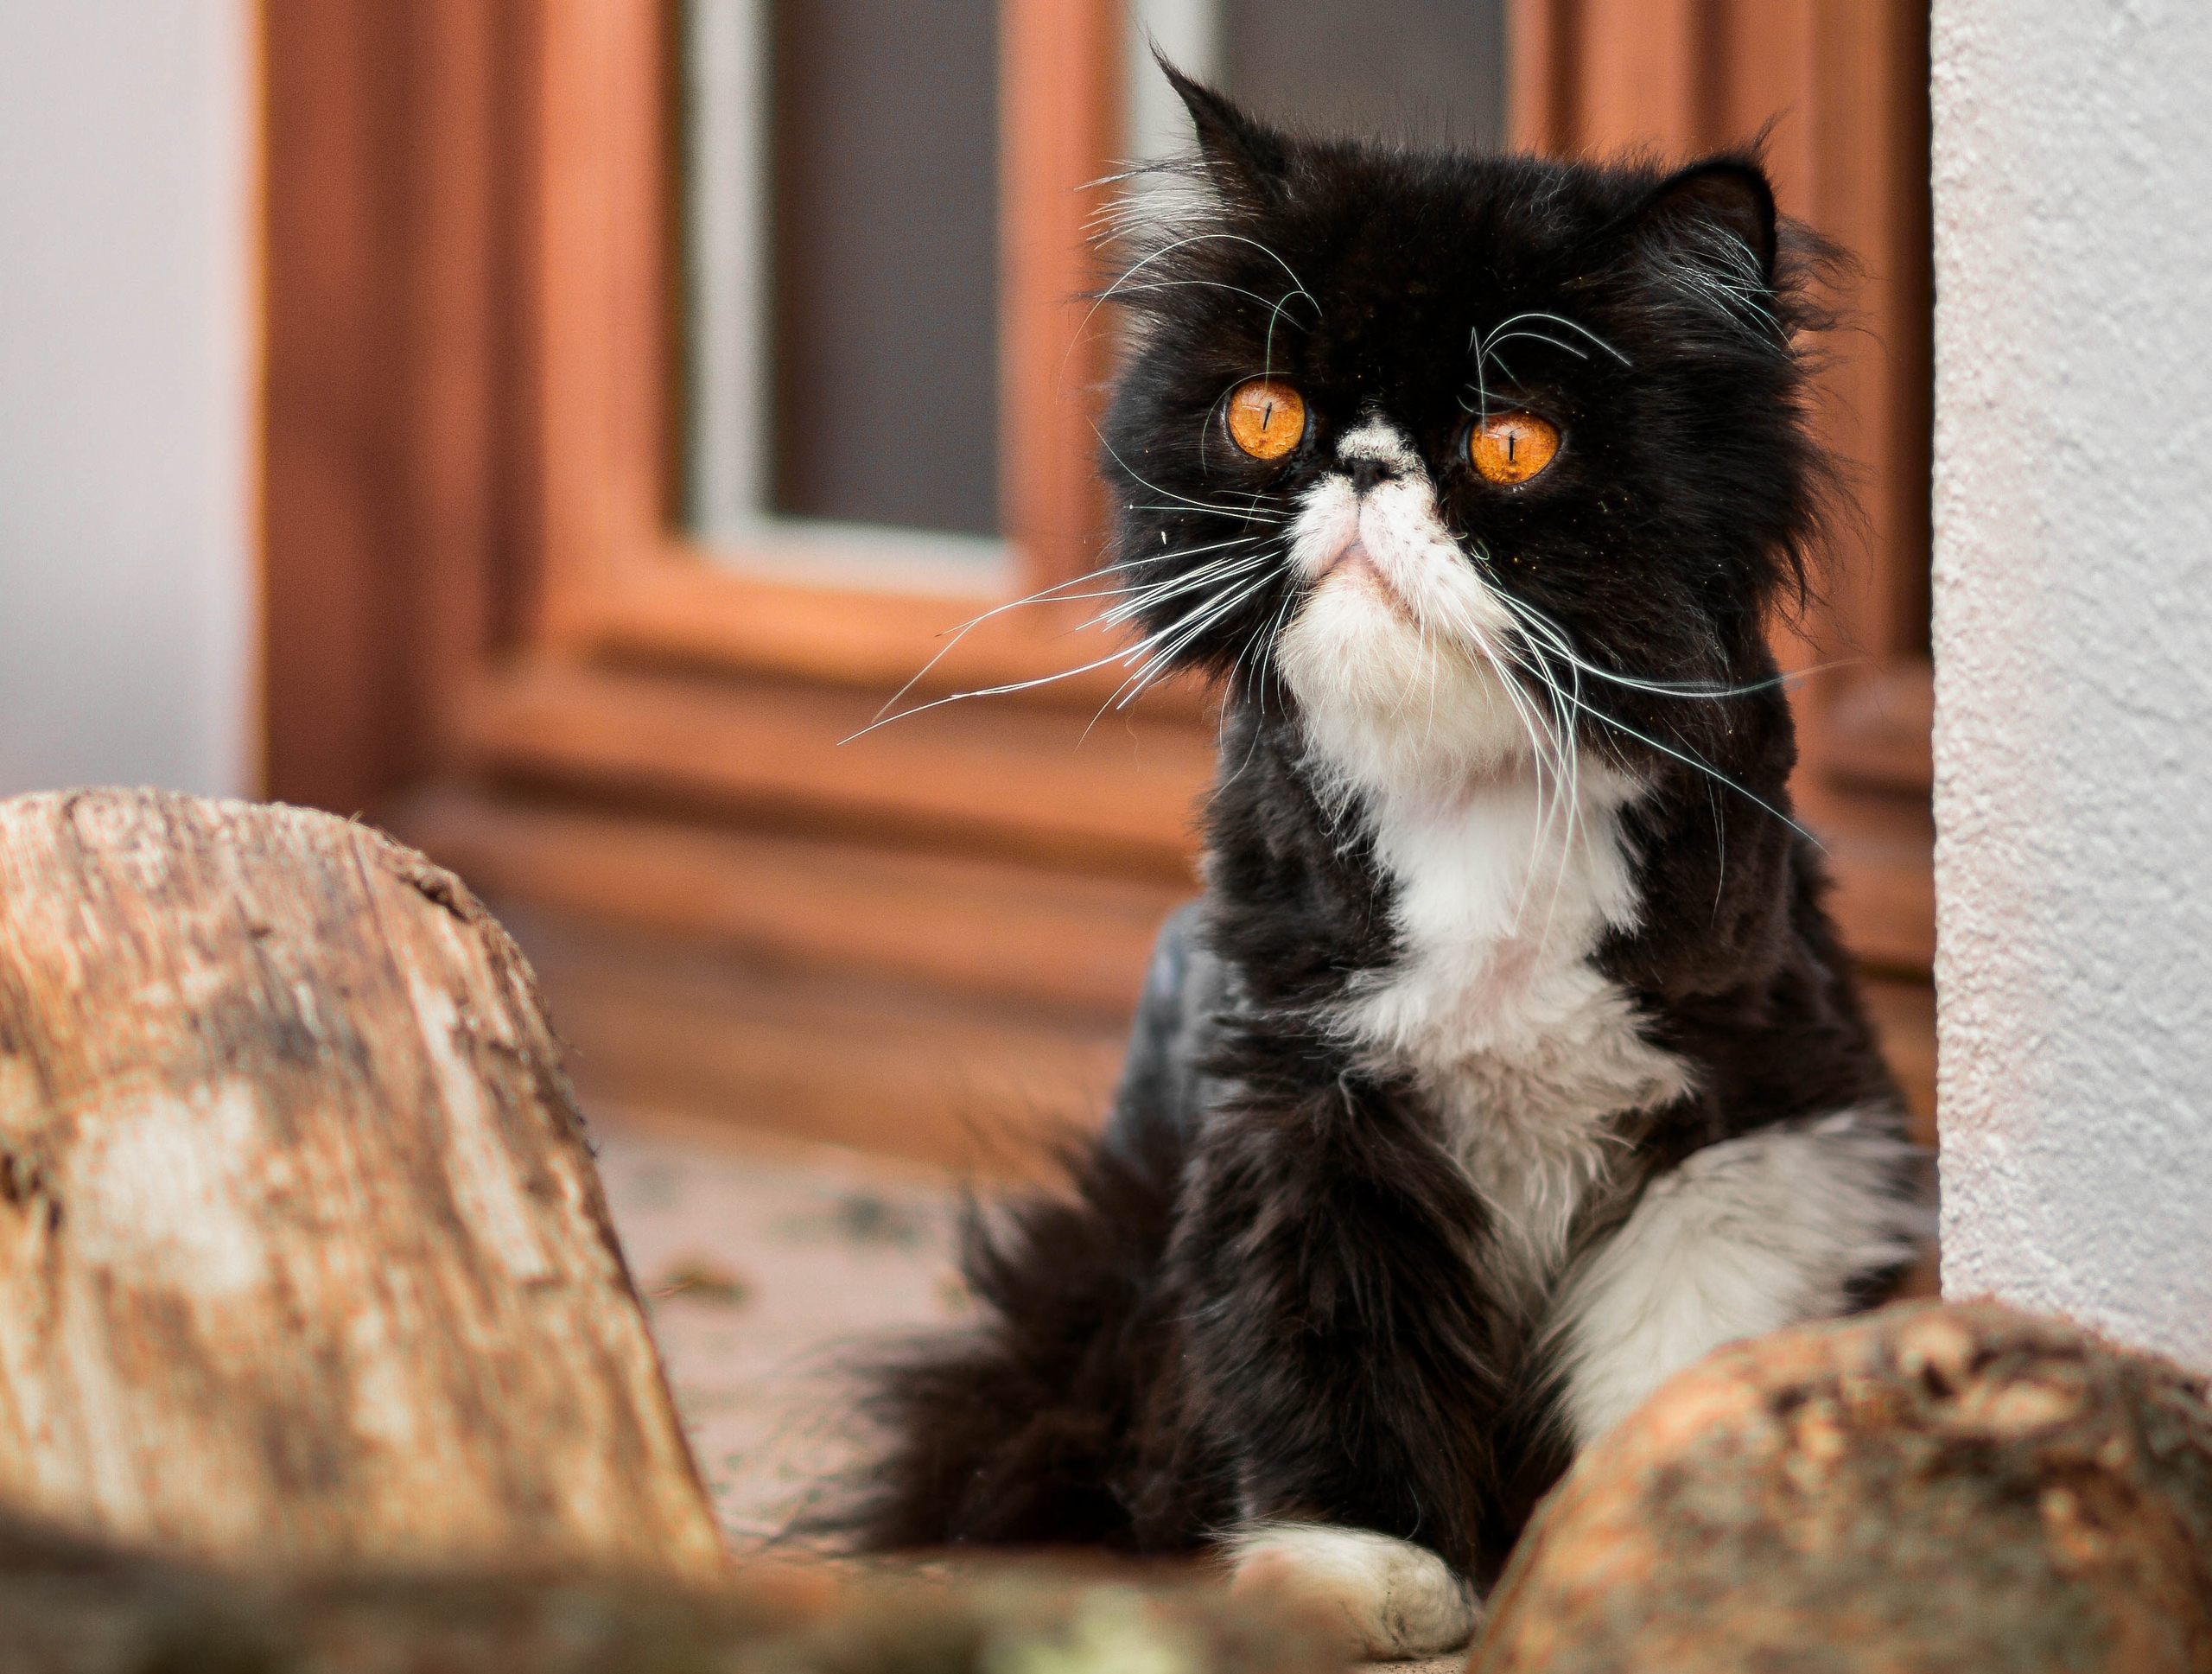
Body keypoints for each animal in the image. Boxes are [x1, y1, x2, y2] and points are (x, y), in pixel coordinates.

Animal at [844, 68, 1937, 1663]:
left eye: (1511, 445)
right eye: (1267, 413)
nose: (1361, 465)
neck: (1470, 801)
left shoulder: (1782, 1116)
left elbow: (1674, 1340)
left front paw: (1639, 1540)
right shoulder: (1302, 1105)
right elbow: (1332, 1339)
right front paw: (1365, 1578)